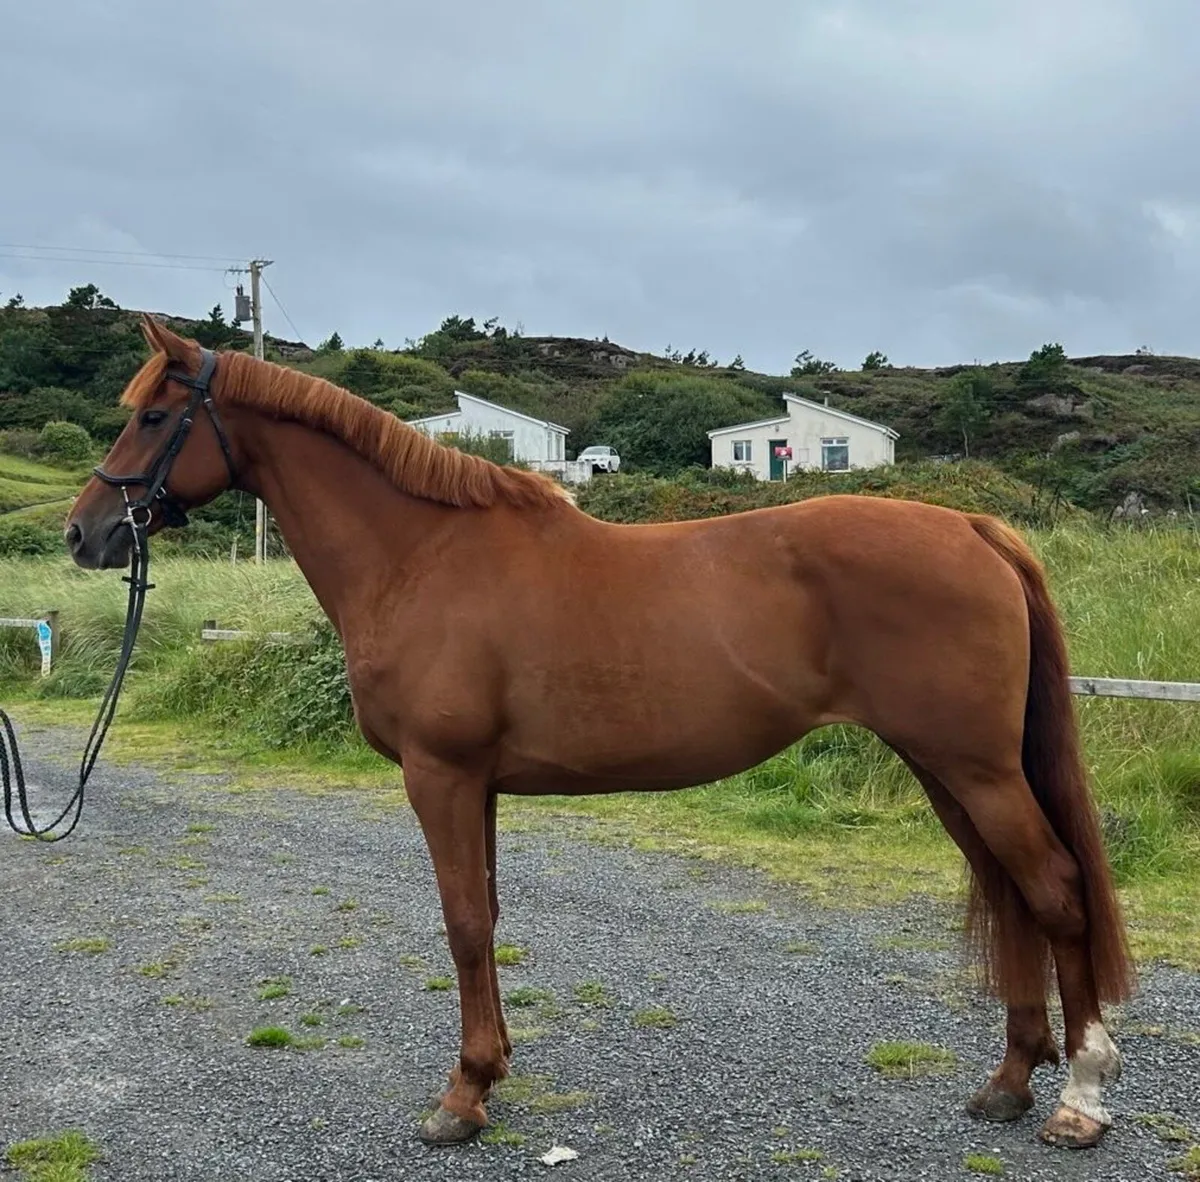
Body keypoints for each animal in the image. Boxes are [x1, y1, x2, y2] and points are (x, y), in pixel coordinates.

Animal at [65, 316, 1134, 1151]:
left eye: (154, 416)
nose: (86, 533)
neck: (422, 555)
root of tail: (975, 527)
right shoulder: (478, 786)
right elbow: (487, 919)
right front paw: (490, 1074)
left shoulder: (440, 776)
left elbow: (462, 925)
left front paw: (460, 1099)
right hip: (948, 771)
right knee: (1013, 896)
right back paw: (1008, 1083)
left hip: (978, 770)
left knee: (1057, 892)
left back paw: (1079, 1098)